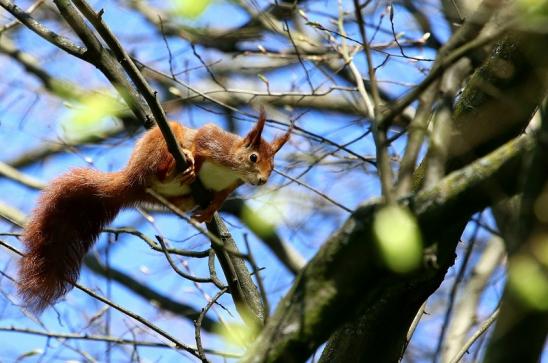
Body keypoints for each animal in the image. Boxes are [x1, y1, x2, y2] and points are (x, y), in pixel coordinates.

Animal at [18, 110, 288, 312]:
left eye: (273, 165)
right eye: (253, 157)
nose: (263, 180)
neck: (231, 169)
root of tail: (130, 181)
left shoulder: (231, 186)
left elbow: (220, 198)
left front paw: (210, 210)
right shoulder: (213, 140)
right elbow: (200, 141)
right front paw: (192, 157)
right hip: (158, 144)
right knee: (161, 164)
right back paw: (177, 165)